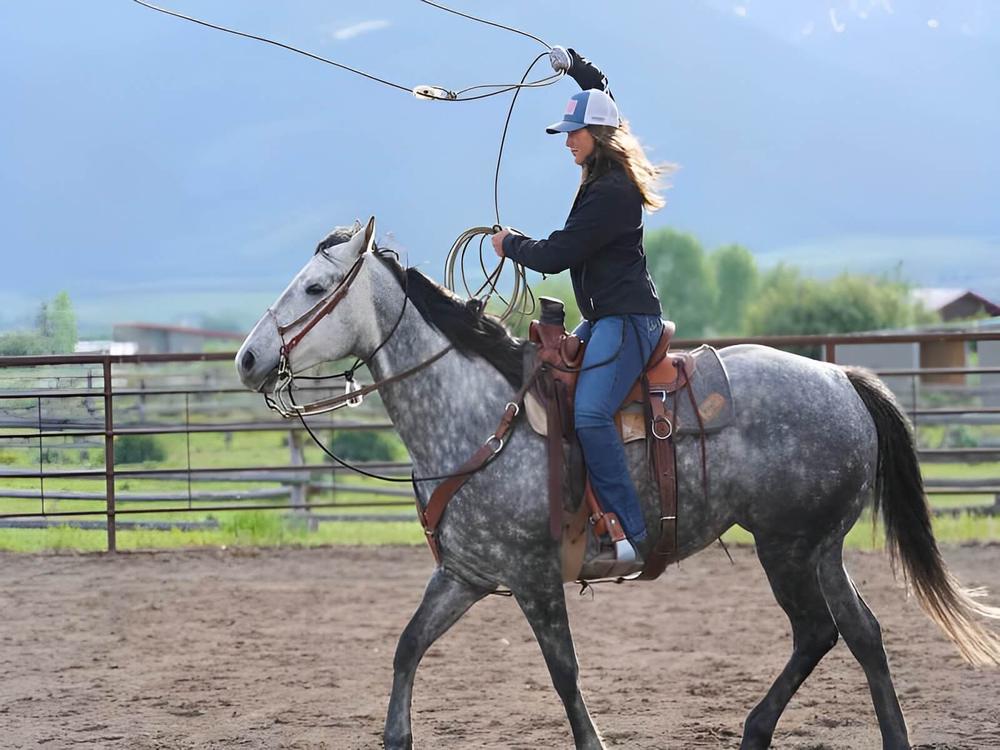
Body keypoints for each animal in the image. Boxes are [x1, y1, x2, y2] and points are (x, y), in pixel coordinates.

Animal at [235, 218, 1000, 750]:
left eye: (314, 288)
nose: (247, 358)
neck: (479, 413)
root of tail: (842, 377)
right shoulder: (466, 574)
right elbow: (406, 646)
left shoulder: (535, 577)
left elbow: (564, 672)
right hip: (820, 548)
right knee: (861, 632)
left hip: (786, 546)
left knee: (818, 632)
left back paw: (755, 729)